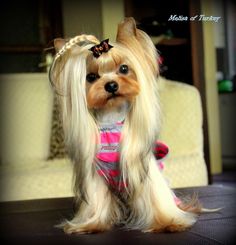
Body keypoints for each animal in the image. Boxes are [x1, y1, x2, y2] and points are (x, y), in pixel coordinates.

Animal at [49, 17, 201, 234]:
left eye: (123, 69)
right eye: (91, 77)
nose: (111, 85)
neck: (111, 118)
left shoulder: (142, 170)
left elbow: (155, 198)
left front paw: (168, 223)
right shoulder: (96, 175)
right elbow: (97, 200)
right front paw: (91, 225)